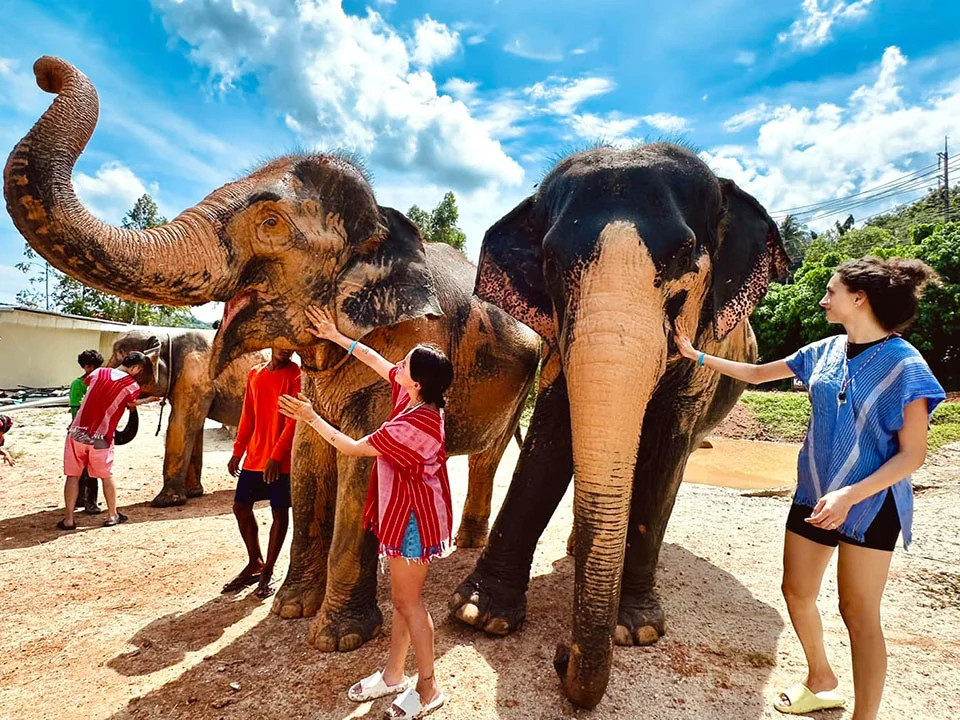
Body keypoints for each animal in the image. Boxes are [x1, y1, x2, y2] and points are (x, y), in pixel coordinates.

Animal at [108, 329, 266, 507]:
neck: (166, 336)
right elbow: (195, 426)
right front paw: (193, 494)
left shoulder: (193, 375)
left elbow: (180, 425)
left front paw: (165, 502)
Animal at [448, 143, 790, 707]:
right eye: (549, 260)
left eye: (686, 255)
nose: (561, 655)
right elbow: (551, 441)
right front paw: (479, 615)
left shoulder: (704, 353)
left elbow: (663, 460)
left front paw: (637, 631)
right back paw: (574, 552)